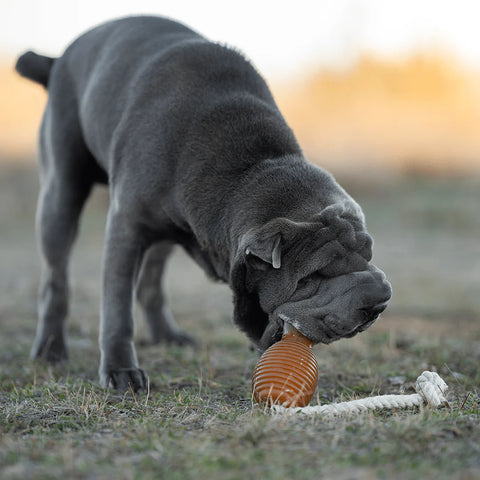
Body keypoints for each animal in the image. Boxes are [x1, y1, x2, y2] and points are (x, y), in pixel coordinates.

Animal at [15, 15, 390, 390]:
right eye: (312, 276)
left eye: (368, 255)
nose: (379, 298)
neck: (249, 169)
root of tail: (57, 59)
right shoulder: (126, 227)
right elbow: (117, 306)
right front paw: (121, 371)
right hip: (61, 189)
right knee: (56, 276)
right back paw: (50, 349)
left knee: (152, 279)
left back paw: (167, 335)